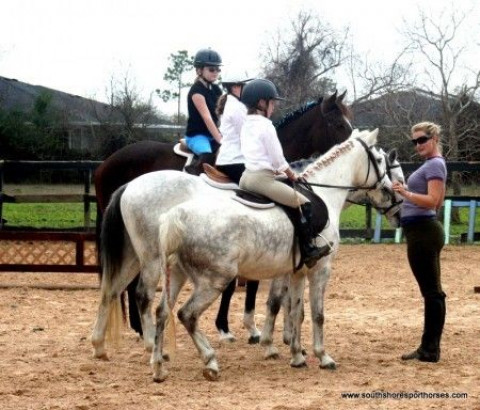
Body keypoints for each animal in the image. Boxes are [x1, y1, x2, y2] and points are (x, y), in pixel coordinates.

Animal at [91, 128, 402, 382]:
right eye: (381, 161)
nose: (394, 199)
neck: (322, 196)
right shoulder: (319, 269)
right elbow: (315, 313)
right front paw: (320, 356)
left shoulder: (297, 271)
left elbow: (296, 311)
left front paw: (296, 355)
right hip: (204, 276)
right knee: (177, 311)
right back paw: (205, 361)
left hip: (165, 270)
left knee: (142, 303)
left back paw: (147, 361)